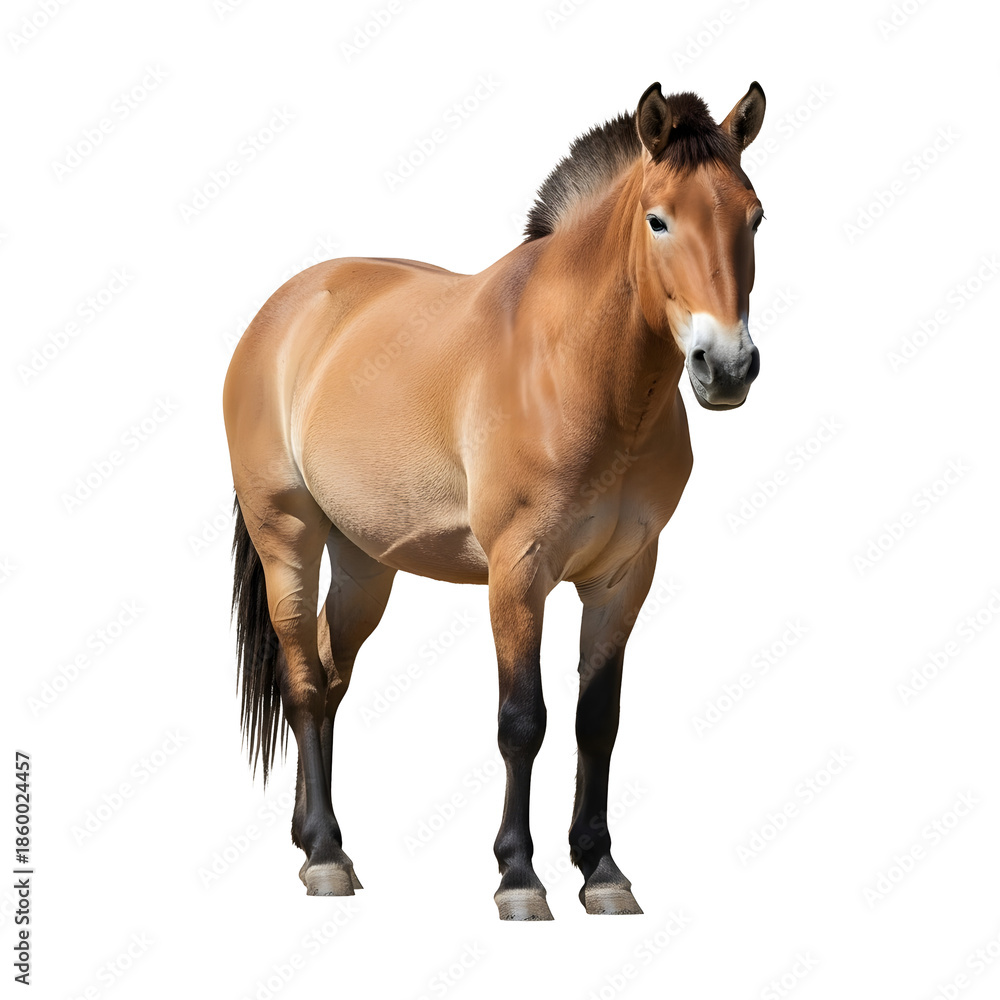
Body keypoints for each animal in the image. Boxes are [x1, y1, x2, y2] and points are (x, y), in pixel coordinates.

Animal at [223, 80, 767, 919]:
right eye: (659, 218)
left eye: (754, 216)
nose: (728, 366)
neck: (575, 366)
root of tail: (283, 310)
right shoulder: (518, 571)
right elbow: (524, 720)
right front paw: (519, 876)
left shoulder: (623, 578)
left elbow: (596, 722)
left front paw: (602, 871)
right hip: (287, 536)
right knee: (304, 681)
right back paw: (324, 855)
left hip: (365, 564)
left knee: (328, 672)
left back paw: (314, 835)